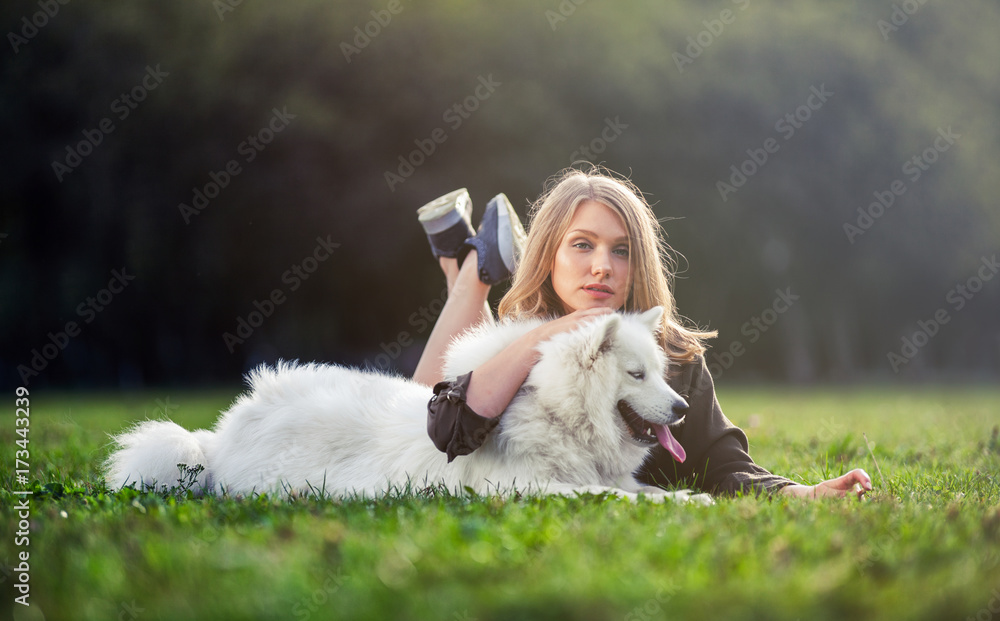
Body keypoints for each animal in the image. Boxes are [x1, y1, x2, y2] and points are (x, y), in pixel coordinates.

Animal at [105, 306, 716, 504]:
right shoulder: (525, 487)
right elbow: (616, 496)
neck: (555, 408)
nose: (683, 409)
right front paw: (686, 503)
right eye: (636, 375)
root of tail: (221, 433)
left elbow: (643, 490)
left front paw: (691, 496)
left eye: (660, 373)